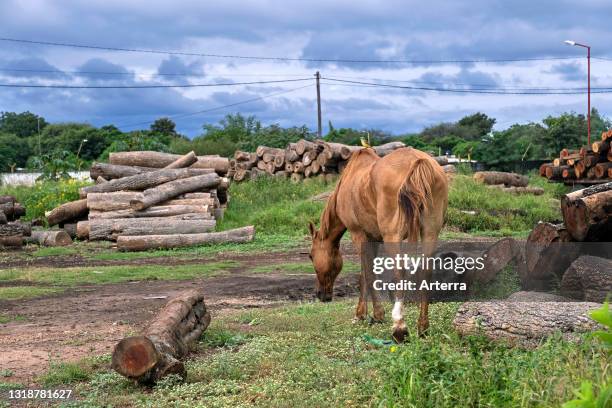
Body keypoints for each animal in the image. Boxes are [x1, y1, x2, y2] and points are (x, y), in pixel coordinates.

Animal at [308, 147, 448, 342]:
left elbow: (367, 273)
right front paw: (363, 313)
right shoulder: (374, 239)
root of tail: (418, 161)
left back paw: (399, 328)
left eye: (311, 256)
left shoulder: (358, 234)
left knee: (400, 271)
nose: (320, 294)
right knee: (426, 270)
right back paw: (423, 327)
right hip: (429, 232)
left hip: (393, 236)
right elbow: (365, 273)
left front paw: (375, 314)